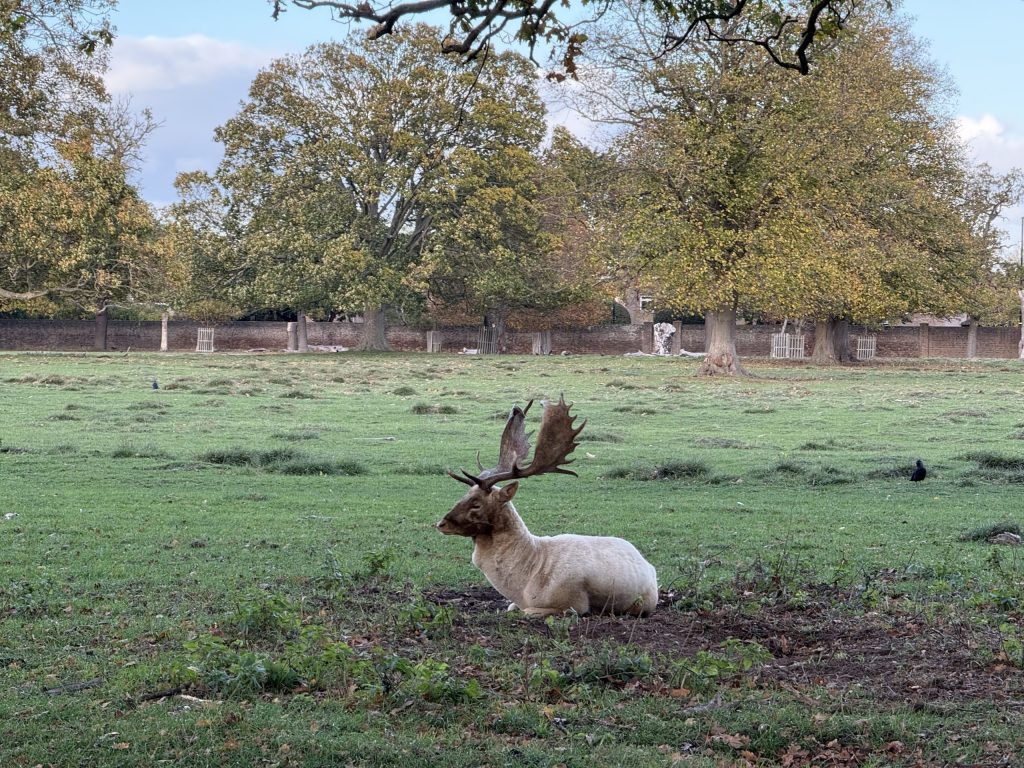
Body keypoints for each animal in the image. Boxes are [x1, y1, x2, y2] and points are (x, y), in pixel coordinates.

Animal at [436, 395, 658, 617]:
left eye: (476, 504)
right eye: (464, 495)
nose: (441, 524)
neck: (523, 587)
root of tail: (649, 566)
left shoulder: (572, 604)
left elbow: (528, 611)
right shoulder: (516, 602)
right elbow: (509, 607)